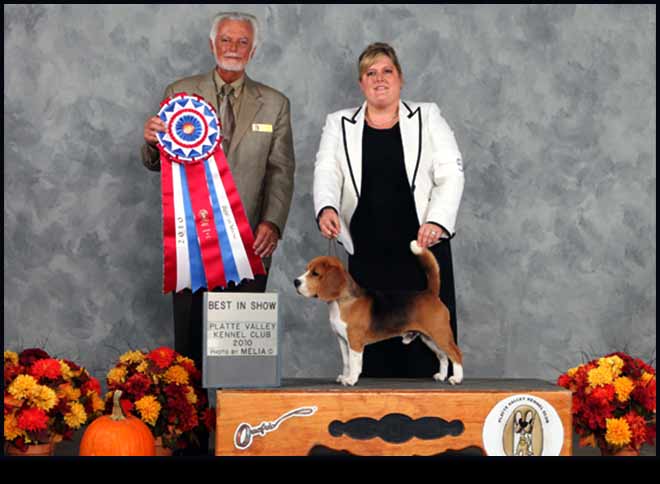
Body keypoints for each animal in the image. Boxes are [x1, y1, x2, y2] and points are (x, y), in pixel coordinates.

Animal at [294, 240, 463, 386]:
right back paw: (441, 376)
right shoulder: (342, 340)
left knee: (456, 354)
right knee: (443, 356)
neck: (341, 301)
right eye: (307, 269)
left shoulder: (354, 341)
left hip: (440, 334)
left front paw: (351, 380)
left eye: (315, 273)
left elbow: (354, 362)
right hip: (429, 338)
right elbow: (347, 362)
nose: (296, 282)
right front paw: (345, 377)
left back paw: (457, 378)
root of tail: (431, 293)